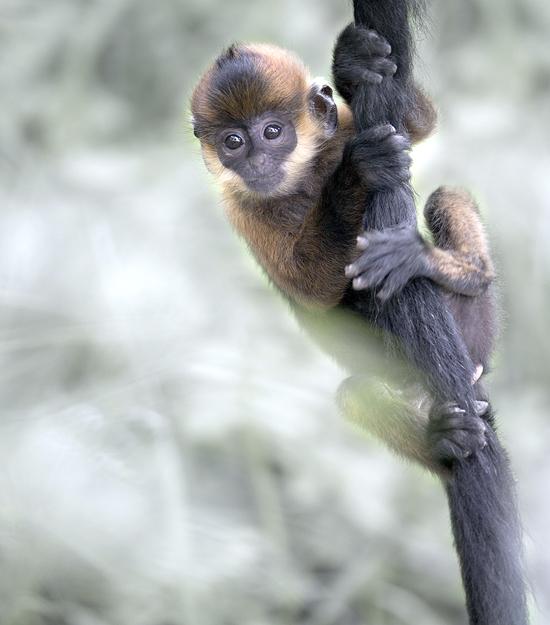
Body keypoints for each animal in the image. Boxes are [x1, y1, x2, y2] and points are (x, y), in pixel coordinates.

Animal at [192, 26, 498, 470]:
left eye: (271, 132)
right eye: (233, 141)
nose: (256, 162)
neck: (306, 179)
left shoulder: (343, 131)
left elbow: (419, 123)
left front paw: (351, 65)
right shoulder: (241, 206)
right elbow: (312, 288)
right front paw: (358, 170)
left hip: (474, 329)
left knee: (443, 203)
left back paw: (441, 264)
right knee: (356, 393)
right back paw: (442, 439)